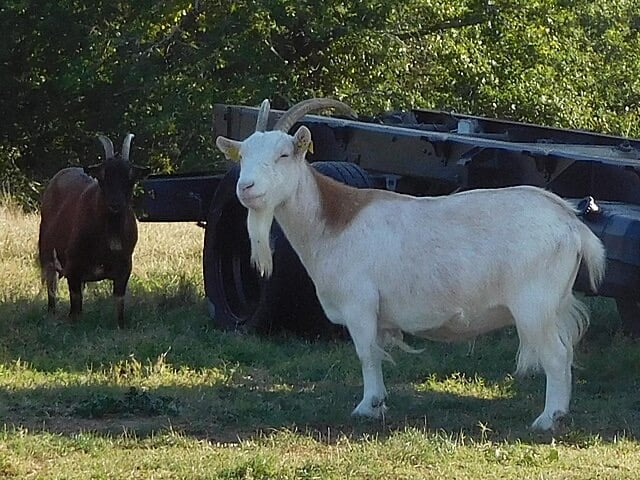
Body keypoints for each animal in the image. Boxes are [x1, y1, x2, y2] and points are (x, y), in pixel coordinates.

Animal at [38, 134, 150, 328]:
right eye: (103, 176)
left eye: (130, 177)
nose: (115, 204)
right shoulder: (73, 267)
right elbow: (75, 306)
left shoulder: (125, 268)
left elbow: (119, 303)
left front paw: (121, 326)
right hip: (46, 252)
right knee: (51, 284)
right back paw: (51, 313)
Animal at [215, 98, 607, 432]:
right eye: (243, 154)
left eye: (283, 154)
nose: (245, 187)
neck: (334, 221)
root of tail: (571, 224)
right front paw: (379, 404)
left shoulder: (360, 305)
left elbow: (366, 354)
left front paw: (368, 406)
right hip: (553, 306)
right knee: (565, 352)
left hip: (533, 306)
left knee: (555, 355)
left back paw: (547, 419)